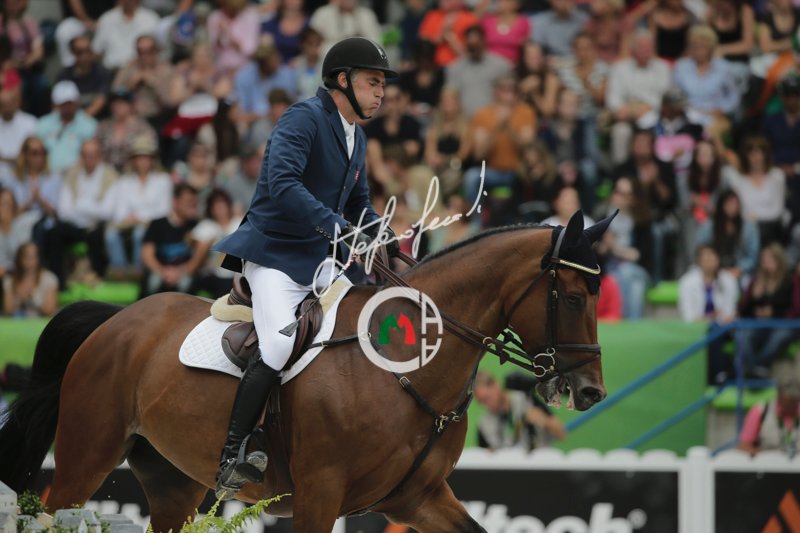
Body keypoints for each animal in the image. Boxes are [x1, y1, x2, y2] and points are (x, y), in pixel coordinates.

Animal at [0, 210, 612, 533]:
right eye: (573, 296)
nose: (590, 392)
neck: (404, 369)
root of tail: (117, 318)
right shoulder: (321, 494)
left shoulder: (417, 497)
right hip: (86, 457)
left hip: (171, 482)